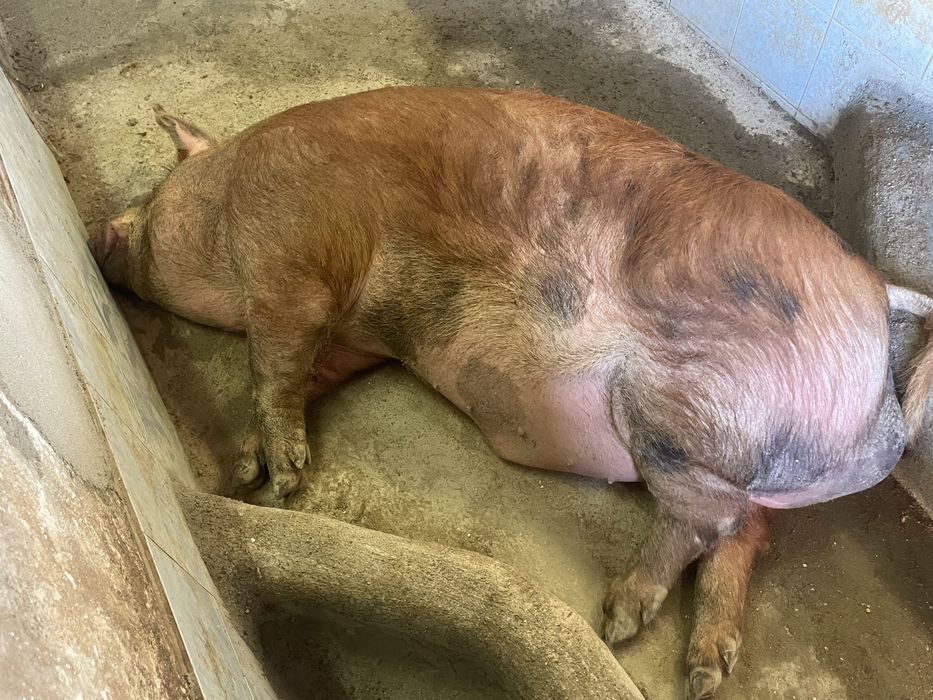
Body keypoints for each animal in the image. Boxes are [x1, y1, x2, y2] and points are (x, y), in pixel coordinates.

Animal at [90, 87, 933, 699]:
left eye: (156, 191)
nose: (100, 231)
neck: (230, 191)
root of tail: (874, 299)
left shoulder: (292, 253)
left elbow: (276, 356)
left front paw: (281, 479)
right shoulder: (363, 333)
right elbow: (313, 368)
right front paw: (242, 469)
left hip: (680, 404)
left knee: (707, 518)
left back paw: (619, 620)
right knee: (742, 528)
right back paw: (703, 672)